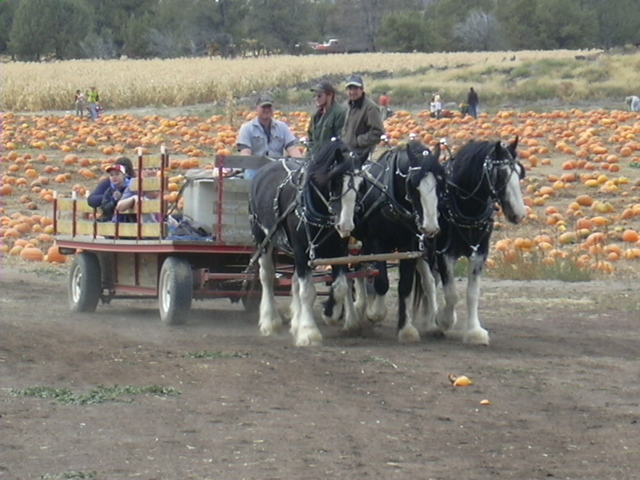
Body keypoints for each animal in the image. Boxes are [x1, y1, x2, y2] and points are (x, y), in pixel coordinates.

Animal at [248, 138, 362, 344]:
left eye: (361, 184)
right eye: (335, 181)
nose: (345, 225)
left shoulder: (339, 251)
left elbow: (340, 286)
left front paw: (330, 313)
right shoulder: (301, 250)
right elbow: (308, 292)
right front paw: (308, 332)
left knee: (294, 280)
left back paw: (295, 322)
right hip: (263, 239)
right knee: (267, 276)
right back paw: (270, 321)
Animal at [344, 141, 444, 344]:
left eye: (439, 183)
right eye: (412, 184)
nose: (430, 226)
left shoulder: (410, 247)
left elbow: (405, 285)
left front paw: (406, 329)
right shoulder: (377, 243)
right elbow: (382, 282)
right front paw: (374, 312)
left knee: (428, 281)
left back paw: (432, 324)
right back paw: (357, 309)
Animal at [418, 139, 528, 344]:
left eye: (520, 171)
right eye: (501, 174)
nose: (519, 214)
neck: (467, 209)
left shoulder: (480, 253)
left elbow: (472, 293)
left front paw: (475, 331)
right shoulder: (444, 254)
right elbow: (451, 294)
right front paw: (444, 320)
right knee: (428, 282)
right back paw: (430, 322)